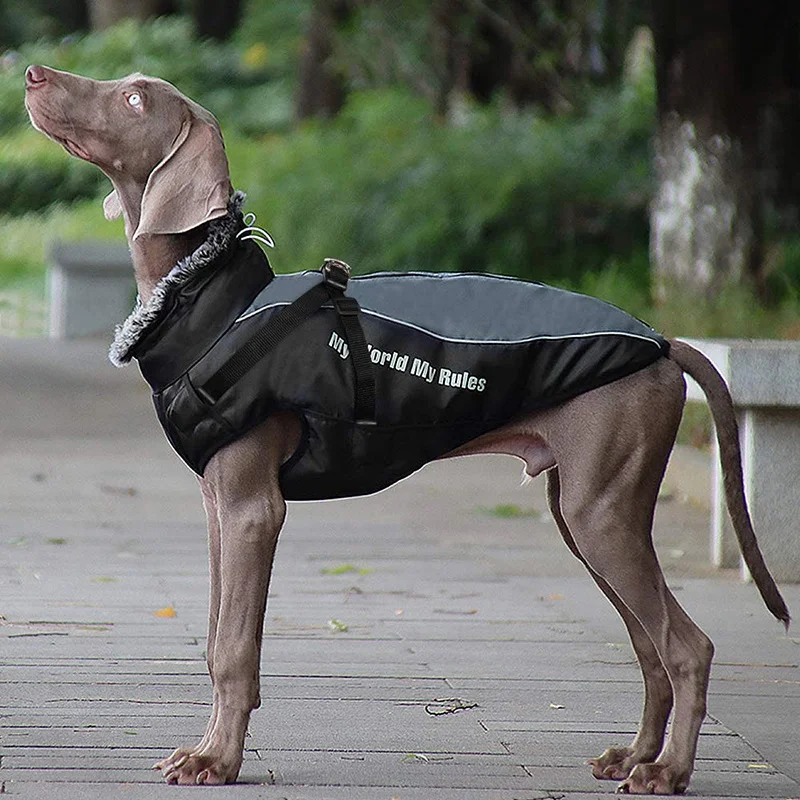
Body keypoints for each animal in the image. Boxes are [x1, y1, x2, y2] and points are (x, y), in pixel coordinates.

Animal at [23, 67, 788, 792]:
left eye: (134, 100)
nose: (31, 74)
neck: (209, 296)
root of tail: (663, 343)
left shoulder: (251, 508)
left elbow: (234, 649)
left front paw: (217, 761)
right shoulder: (217, 505)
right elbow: (215, 640)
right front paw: (212, 750)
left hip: (601, 513)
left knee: (686, 646)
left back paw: (667, 772)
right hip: (586, 514)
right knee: (649, 645)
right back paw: (633, 756)